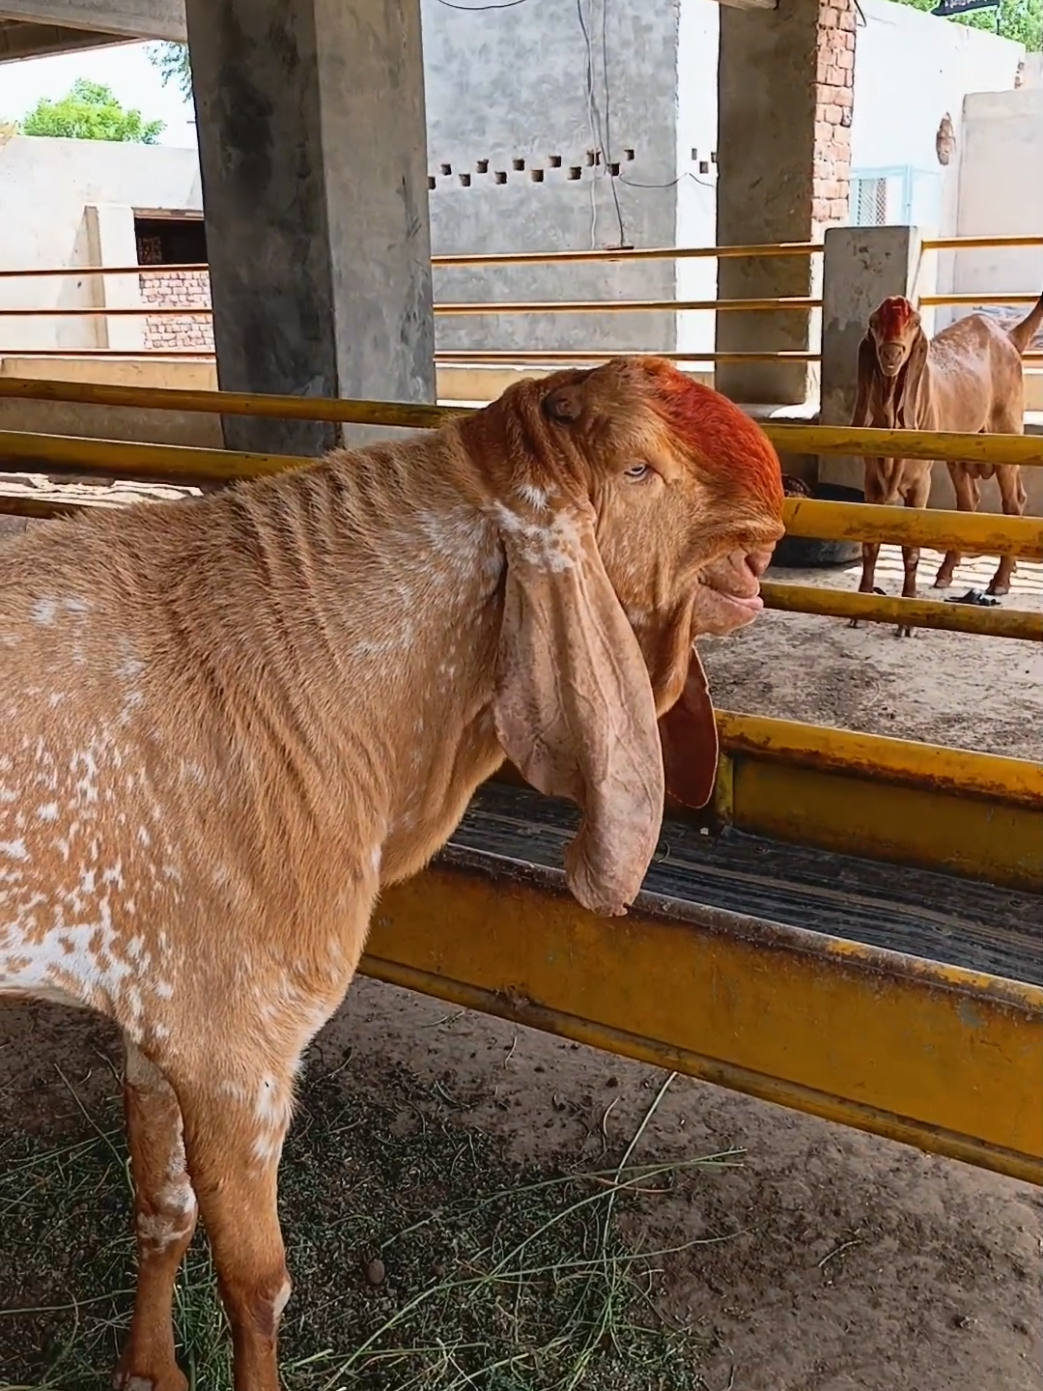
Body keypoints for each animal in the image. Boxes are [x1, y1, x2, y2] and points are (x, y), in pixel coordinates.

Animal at [1, 357, 784, 1391]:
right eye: (637, 467)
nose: (768, 530)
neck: (307, 669)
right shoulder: (237, 1047)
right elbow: (257, 1283)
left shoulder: (154, 1015)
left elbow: (161, 1208)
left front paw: (147, 1370)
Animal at [850, 291, 1042, 635]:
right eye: (873, 323)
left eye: (914, 323)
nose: (890, 353)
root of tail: (1008, 337)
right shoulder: (872, 481)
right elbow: (870, 545)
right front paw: (861, 607)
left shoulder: (919, 484)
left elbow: (911, 548)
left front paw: (906, 618)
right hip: (959, 452)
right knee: (968, 501)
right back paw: (946, 572)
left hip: (1007, 435)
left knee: (1014, 502)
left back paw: (1000, 581)